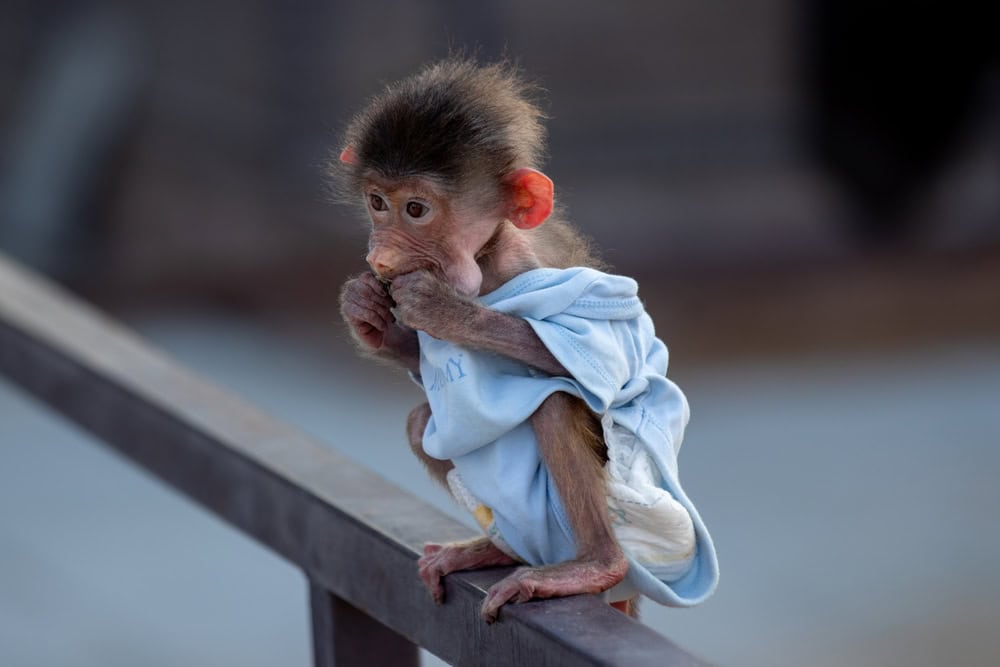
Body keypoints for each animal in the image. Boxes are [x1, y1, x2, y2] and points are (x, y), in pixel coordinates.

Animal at [336, 58, 718, 623]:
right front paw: (368, 313)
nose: (379, 254)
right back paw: (498, 550)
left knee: (555, 404)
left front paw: (443, 310)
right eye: (378, 202)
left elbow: (608, 358)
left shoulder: (535, 268)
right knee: (422, 421)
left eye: (417, 210)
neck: (485, 261)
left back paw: (594, 565)